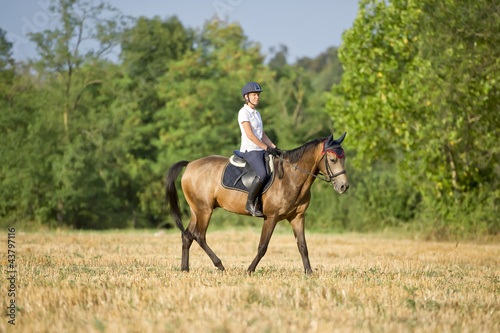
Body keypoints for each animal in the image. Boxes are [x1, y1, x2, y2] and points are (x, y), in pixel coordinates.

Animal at [166, 131, 350, 274]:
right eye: (333, 160)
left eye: (344, 158)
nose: (344, 186)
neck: (291, 178)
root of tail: (190, 164)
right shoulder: (271, 217)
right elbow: (263, 246)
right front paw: (250, 270)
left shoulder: (297, 217)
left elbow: (303, 246)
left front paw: (309, 272)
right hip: (205, 210)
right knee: (199, 235)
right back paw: (220, 265)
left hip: (196, 210)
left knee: (187, 236)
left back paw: (185, 269)